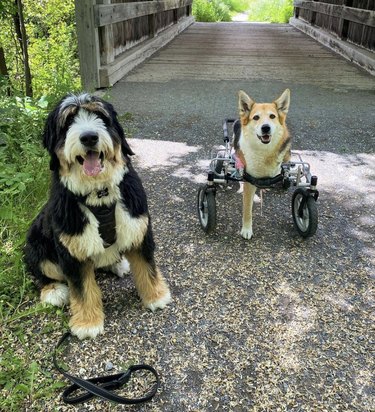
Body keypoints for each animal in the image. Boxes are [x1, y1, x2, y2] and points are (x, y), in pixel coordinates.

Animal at [23, 95, 170, 340]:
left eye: (100, 116)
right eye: (68, 121)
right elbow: (82, 289)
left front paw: (156, 296)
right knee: (42, 273)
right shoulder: (72, 249)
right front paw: (87, 323)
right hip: (36, 244)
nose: (89, 137)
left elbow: (147, 267)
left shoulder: (138, 228)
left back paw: (117, 264)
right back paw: (53, 291)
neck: (99, 193)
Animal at [234, 89, 292, 238]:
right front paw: (247, 229)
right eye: (256, 117)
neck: (263, 152)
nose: (266, 128)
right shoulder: (249, 181)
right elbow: (247, 210)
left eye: (272, 116)